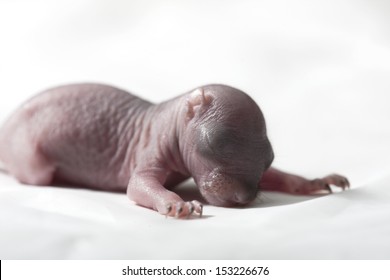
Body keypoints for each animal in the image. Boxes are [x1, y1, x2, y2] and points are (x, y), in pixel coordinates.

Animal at [0, 83, 350, 219]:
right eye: (215, 143)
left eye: (269, 159)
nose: (243, 198)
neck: (169, 117)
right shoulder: (151, 146)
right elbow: (138, 186)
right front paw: (176, 203)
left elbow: (282, 176)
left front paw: (314, 181)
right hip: (31, 158)